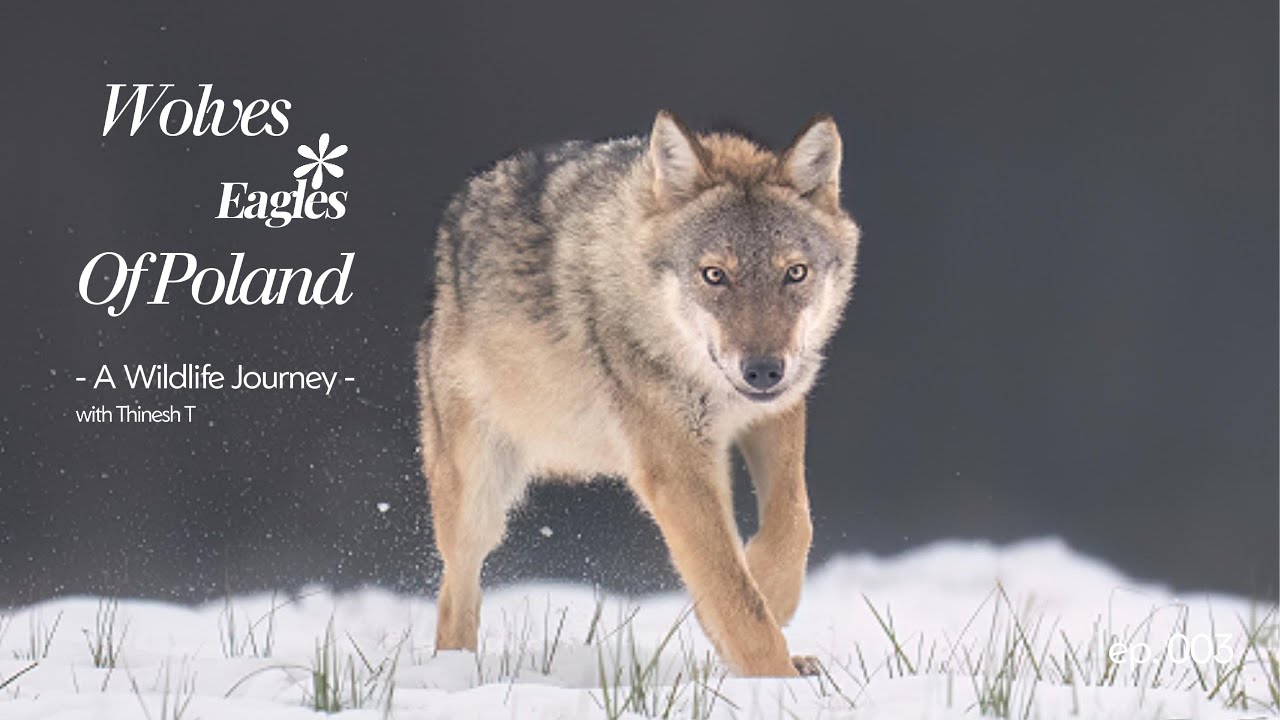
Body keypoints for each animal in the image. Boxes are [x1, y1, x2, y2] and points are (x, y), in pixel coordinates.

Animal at [416, 111, 860, 676]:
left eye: (794, 273)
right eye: (714, 275)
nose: (763, 371)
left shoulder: (775, 414)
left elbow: (792, 521)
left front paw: (772, 592)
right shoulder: (676, 470)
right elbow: (738, 599)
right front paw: (774, 682)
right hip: (477, 501)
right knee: (455, 594)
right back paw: (454, 675)